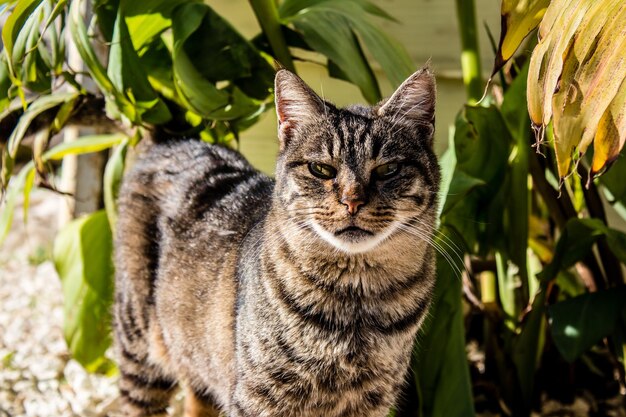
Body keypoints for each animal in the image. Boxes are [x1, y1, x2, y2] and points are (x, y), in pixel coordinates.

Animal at [114, 66, 438, 416]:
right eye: (321, 168)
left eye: (388, 169)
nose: (352, 201)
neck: (355, 302)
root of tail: (175, 138)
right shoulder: (259, 398)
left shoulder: (373, 400)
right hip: (138, 347)